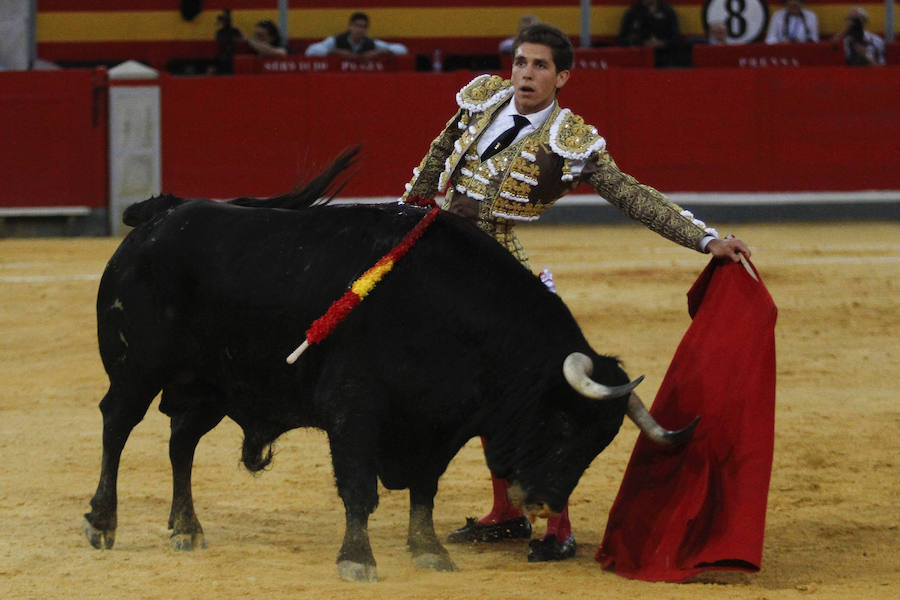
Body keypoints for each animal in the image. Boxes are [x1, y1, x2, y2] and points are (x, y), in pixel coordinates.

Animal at [82, 150, 696, 580]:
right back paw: (103, 522)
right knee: (116, 425)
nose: (546, 501)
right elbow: (359, 488)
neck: (451, 312)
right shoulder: (353, 408)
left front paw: (429, 552)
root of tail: (159, 218)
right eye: (564, 423)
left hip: (210, 385)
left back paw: (186, 528)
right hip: (136, 370)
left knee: (181, 441)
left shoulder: (442, 423)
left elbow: (424, 489)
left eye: (602, 443)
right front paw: (358, 560)